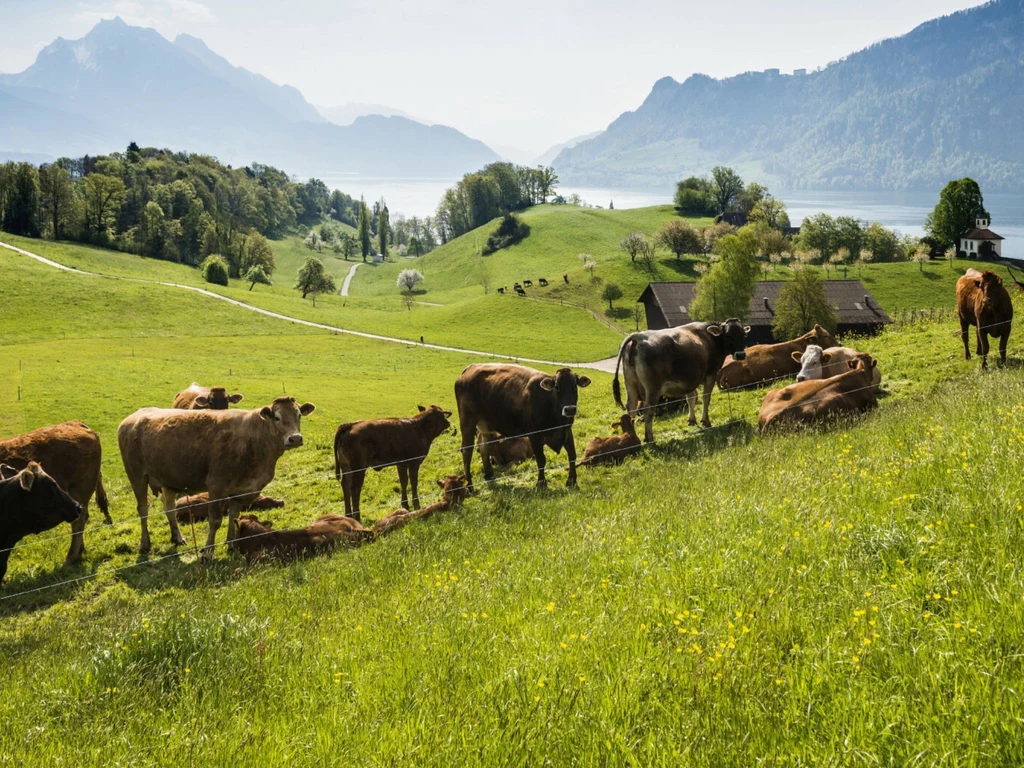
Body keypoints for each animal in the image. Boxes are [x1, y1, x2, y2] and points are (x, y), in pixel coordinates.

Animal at [118, 397, 313, 561]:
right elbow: (215, 521)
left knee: (169, 509)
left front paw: (232, 544)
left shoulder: (240, 490)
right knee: (143, 510)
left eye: (299, 415)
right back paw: (145, 543)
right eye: (277, 417)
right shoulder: (216, 486)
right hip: (136, 476)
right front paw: (208, 552)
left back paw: (177, 537)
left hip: (168, 479)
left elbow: (234, 516)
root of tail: (133, 418)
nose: (295, 438)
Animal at [456, 364, 593, 489]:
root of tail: (470, 368)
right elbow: (541, 459)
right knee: (467, 451)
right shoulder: (534, 436)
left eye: (574, 386)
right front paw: (541, 484)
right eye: (557, 387)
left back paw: (489, 475)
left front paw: (572, 481)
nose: (570, 409)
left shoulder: (567, 431)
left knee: (484, 447)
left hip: (485, 425)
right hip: (467, 422)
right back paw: (470, 486)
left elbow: (572, 455)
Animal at [610, 319, 749, 442]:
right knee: (648, 410)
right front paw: (705, 421)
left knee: (631, 407)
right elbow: (705, 397)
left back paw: (633, 437)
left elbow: (691, 398)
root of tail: (639, 336)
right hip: (653, 388)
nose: (741, 355)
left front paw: (691, 420)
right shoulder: (711, 374)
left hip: (630, 384)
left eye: (743, 335)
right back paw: (649, 438)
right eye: (728, 336)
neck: (710, 339)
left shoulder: (689, 379)